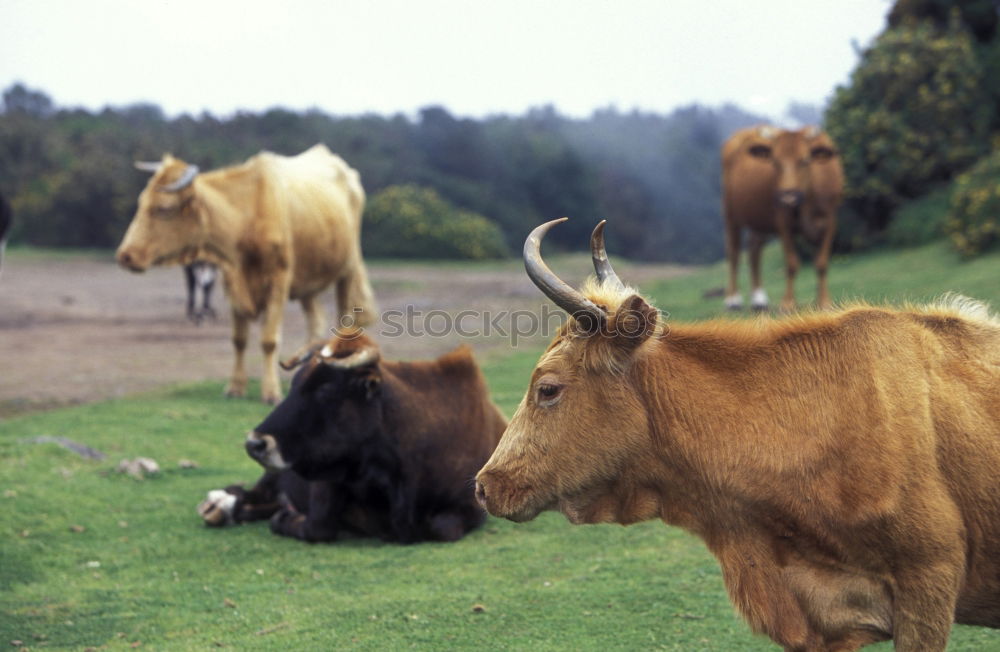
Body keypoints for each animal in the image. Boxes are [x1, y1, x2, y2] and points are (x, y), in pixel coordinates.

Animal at [197, 328, 508, 544]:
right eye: (294, 384)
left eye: (325, 390)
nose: (256, 443)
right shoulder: (326, 481)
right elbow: (318, 527)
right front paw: (285, 517)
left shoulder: (472, 506)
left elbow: (442, 527)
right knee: (251, 493)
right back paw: (221, 504)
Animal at [720, 126, 844, 314]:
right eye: (775, 162)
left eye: (805, 160)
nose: (788, 197)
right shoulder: (783, 223)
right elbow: (792, 263)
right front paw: (788, 304)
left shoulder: (830, 221)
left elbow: (821, 262)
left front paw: (824, 302)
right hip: (731, 214)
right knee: (734, 253)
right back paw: (733, 299)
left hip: (758, 221)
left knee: (754, 252)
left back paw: (759, 299)